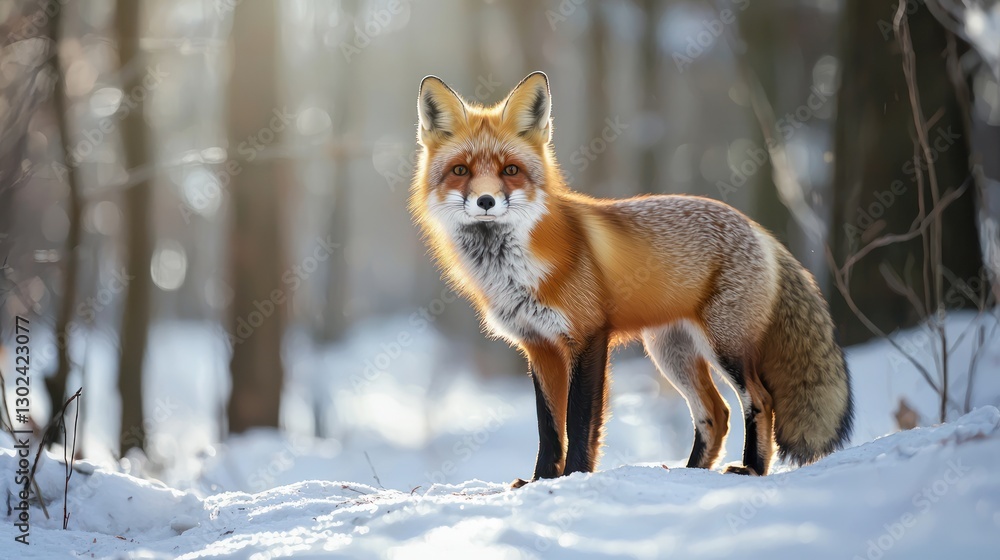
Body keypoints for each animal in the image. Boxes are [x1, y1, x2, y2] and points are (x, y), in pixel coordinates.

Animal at [409, 71, 853, 487]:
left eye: (511, 170)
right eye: (461, 170)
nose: (485, 201)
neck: (512, 272)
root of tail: (758, 229)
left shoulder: (588, 337)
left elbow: (580, 422)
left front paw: (574, 476)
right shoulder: (540, 347)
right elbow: (549, 428)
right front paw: (540, 482)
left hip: (725, 345)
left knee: (760, 400)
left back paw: (751, 469)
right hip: (670, 352)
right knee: (715, 413)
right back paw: (689, 473)